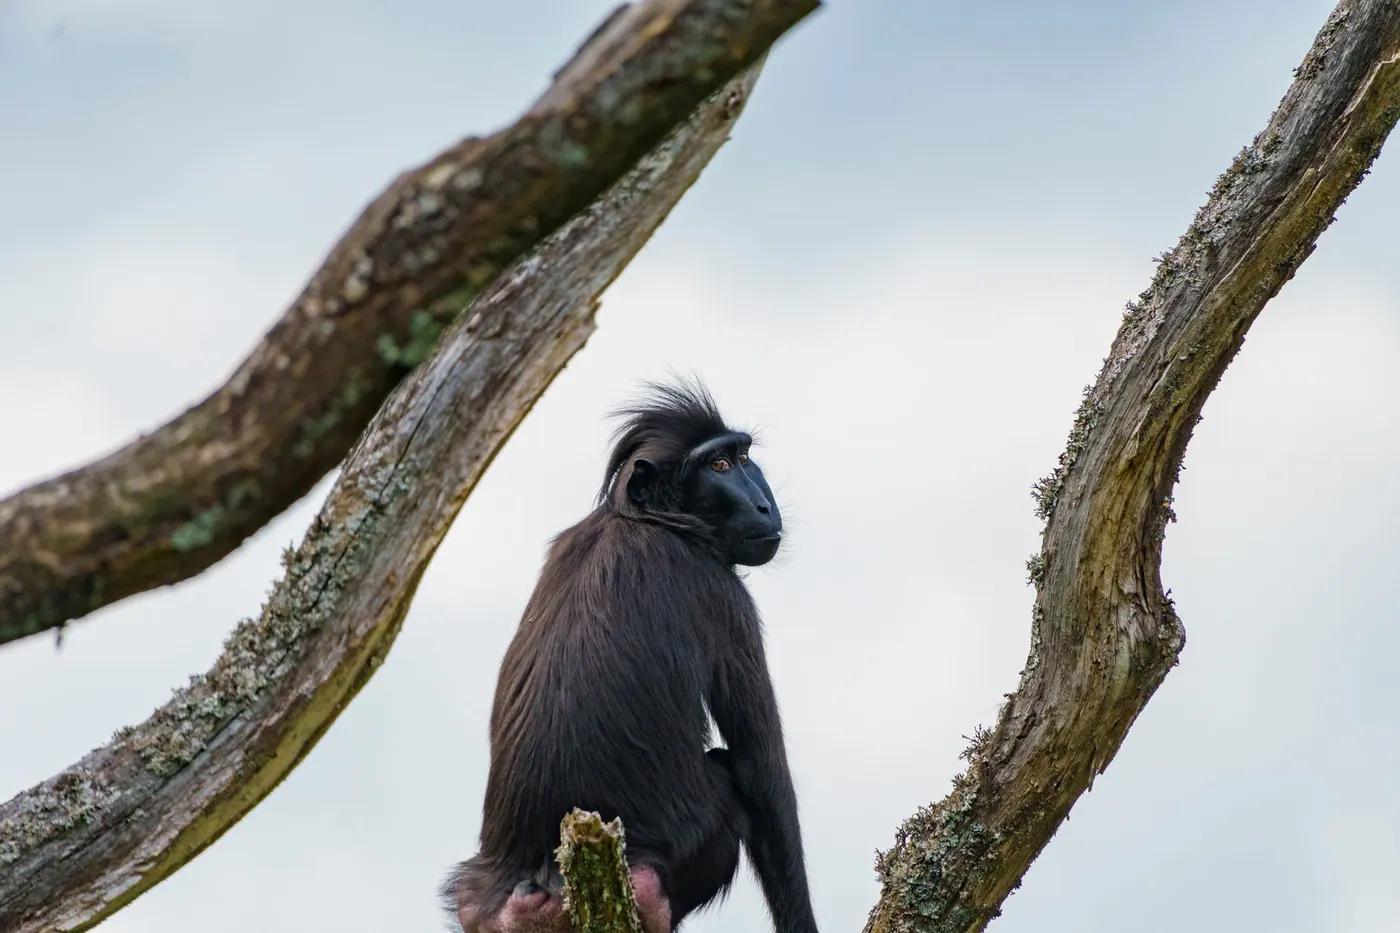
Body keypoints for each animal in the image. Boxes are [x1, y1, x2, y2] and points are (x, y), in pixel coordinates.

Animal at [445, 382, 819, 933]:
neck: (646, 517)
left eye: (743, 456)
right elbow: (762, 768)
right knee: (729, 772)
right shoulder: (720, 591)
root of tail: (539, 884)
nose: (762, 504)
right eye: (719, 466)